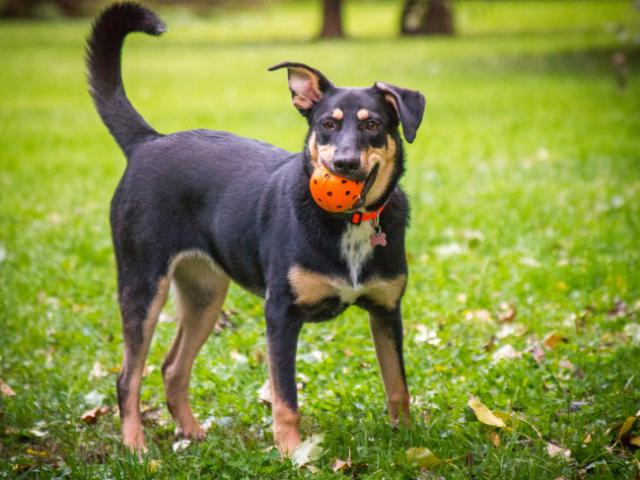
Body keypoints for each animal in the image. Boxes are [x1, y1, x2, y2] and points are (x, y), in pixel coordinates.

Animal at [85, 1, 424, 456]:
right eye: (327, 125)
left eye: (372, 125)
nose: (344, 164)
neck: (348, 223)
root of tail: (147, 142)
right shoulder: (280, 313)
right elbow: (285, 399)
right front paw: (292, 453)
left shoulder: (387, 311)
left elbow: (398, 387)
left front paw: (409, 444)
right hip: (143, 285)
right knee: (127, 376)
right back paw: (136, 447)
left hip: (205, 293)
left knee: (172, 367)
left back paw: (190, 432)